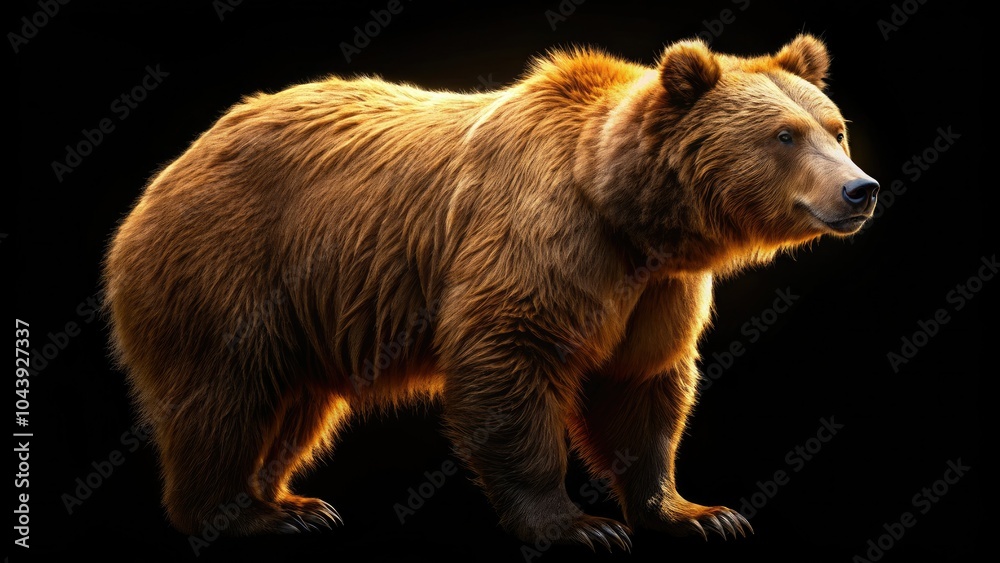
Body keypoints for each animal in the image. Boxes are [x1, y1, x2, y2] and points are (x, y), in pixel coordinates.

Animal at [102, 33, 878, 549]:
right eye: (784, 135)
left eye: (835, 128)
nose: (859, 189)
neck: (628, 211)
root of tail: (177, 164)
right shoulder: (543, 243)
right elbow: (511, 359)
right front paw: (579, 526)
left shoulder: (656, 288)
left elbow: (642, 384)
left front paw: (698, 512)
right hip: (235, 264)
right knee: (225, 395)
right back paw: (250, 511)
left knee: (295, 405)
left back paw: (292, 499)